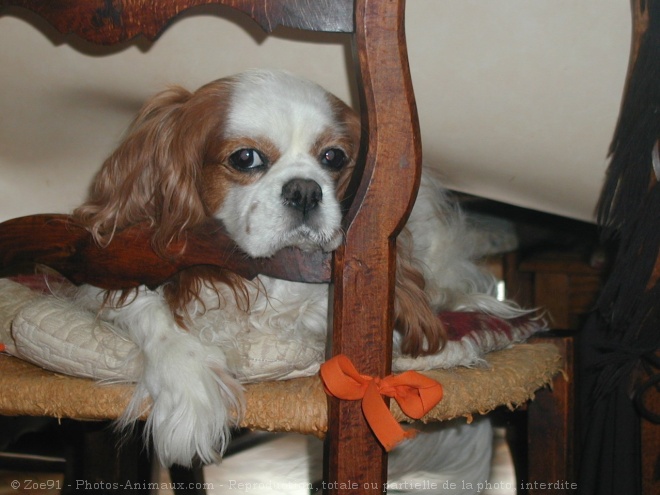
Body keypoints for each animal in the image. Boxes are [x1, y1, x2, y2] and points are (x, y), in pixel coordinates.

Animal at [71, 70, 520, 468]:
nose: (305, 190)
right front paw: (190, 395)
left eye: (333, 157)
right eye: (246, 158)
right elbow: (153, 315)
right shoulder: (104, 272)